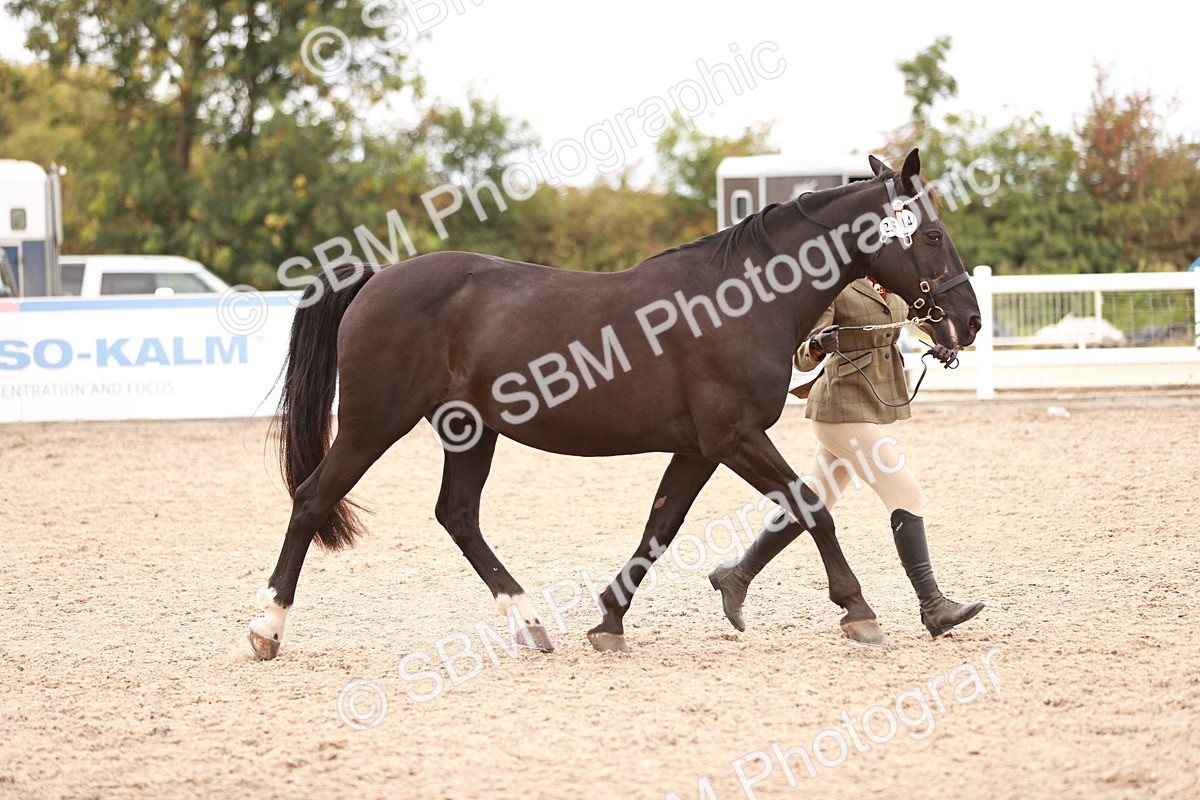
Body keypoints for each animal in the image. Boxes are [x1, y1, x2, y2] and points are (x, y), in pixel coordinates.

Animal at [245, 149, 981, 660]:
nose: (968, 322)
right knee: (312, 499)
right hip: (373, 423)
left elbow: (660, 528)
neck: (740, 301)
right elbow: (809, 507)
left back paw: (531, 624)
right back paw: (267, 628)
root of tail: (376, 278)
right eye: (933, 236)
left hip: (470, 431)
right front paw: (858, 612)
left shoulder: (697, 448)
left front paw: (608, 621)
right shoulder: (734, 437)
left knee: (457, 515)